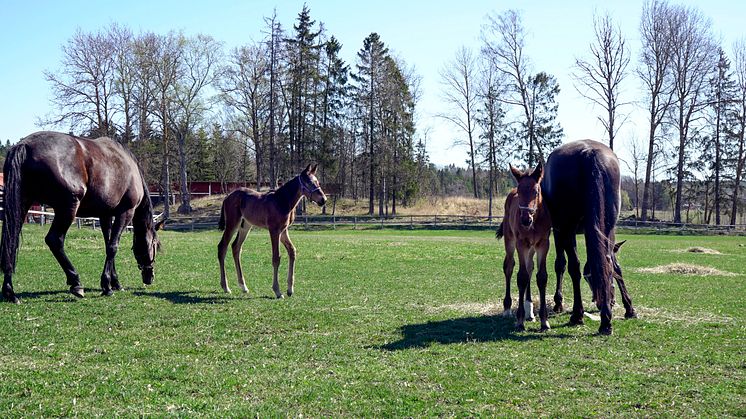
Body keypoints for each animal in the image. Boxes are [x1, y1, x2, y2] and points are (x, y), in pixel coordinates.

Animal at [0, 130, 163, 304]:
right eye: (155, 245)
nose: (149, 277)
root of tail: (25, 145)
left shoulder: (105, 215)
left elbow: (108, 245)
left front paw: (115, 283)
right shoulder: (125, 212)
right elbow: (113, 247)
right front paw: (107, 286)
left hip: (22, 204)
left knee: (11, 241)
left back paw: (10, 292)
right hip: (67, 208)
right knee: (54, 240)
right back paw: (76, 283)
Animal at [215, 164, 326, 298]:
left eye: (317, 182)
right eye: (309, 182)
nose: (323, 200)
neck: (282, 200)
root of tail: (227, 197)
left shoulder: (283, 231)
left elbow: (292, 251)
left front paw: (290, 289)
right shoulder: (274, 230)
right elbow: (276, 258)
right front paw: (277, 291)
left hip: (245, 226)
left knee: (236, 247)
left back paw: (243, 286)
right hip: (232, 224)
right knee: (222, 247)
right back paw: (226, 287)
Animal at [494, 163, 552, 332]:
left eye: (536, 191)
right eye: (519, 192)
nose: (526, 220)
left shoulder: (543, 243)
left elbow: (541, 277)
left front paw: (544, 321)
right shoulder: (521, 243)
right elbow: (521, 277)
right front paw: (519, 320)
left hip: (531, 247)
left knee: (530, 267)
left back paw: (530, 311)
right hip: (510, 240)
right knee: (509, 266)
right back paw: (507, 309)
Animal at [536, 139, 636, 336]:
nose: (606, 300)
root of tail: (589, 153)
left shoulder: (559, 231)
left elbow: (561, 265)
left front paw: (559, 303)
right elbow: (616, 267)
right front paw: (629, 308)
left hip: (567, 228)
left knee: (574, 267)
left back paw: (577, 314)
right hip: (608, 226)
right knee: (608, 262)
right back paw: (606, 320)